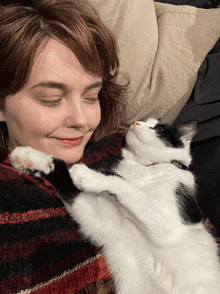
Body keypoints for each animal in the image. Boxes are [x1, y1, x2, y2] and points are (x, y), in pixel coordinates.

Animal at [10, 118, 220, 292]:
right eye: (145, 120)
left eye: (159, 129)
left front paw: (92, 176)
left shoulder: (167, 228)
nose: (136, 122)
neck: (144, 167)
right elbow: (64, 176)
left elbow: (130, 188)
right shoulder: (107, 223)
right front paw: (32, 159)